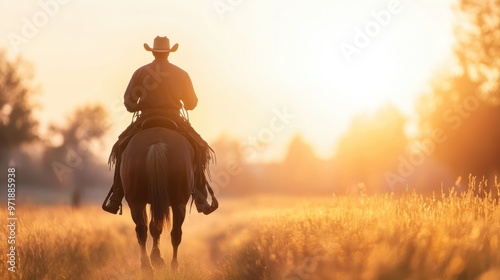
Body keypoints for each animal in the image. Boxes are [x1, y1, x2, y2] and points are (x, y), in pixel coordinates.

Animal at [119, 127, 193, 272]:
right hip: (178, 202)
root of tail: (156, 144)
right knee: (176, 233)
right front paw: (158, 258)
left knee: (142, 230)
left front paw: (156, 258)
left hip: (136, 202)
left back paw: (147, 267)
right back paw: (173, 266)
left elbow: (154, 227)